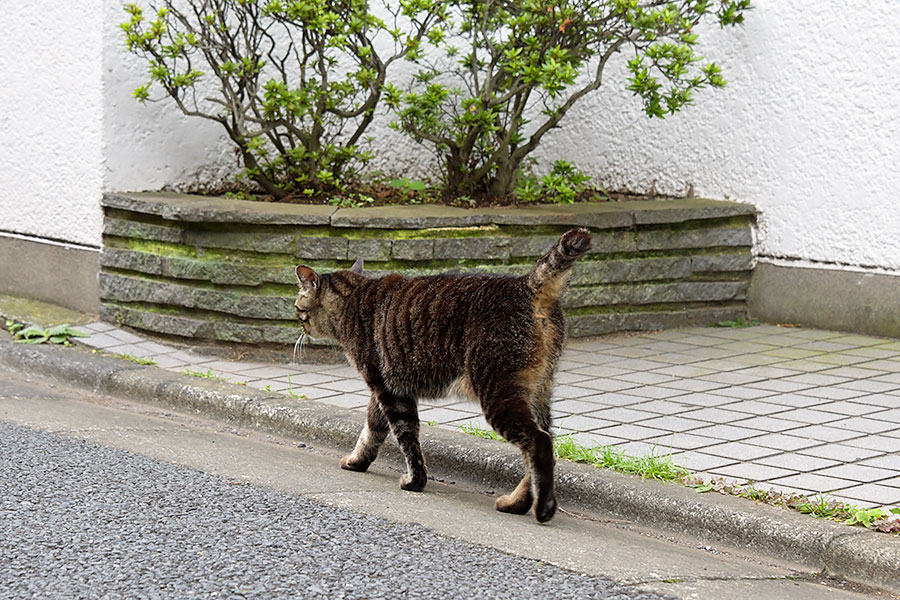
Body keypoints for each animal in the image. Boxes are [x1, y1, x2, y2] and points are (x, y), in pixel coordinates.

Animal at [294, 227, 592, 524]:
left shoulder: (388, 391)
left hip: (498, 394)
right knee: (544, 443)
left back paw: (543, 508)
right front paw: (358, 461)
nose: (300, 326)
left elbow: (407, 439)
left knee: (539, 442)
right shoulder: (385, 389)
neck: (353, 297)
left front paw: (415, 482)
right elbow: (371, 430)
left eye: (297, 307)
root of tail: (526, 284)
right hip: (538, 391)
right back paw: (516, 503)